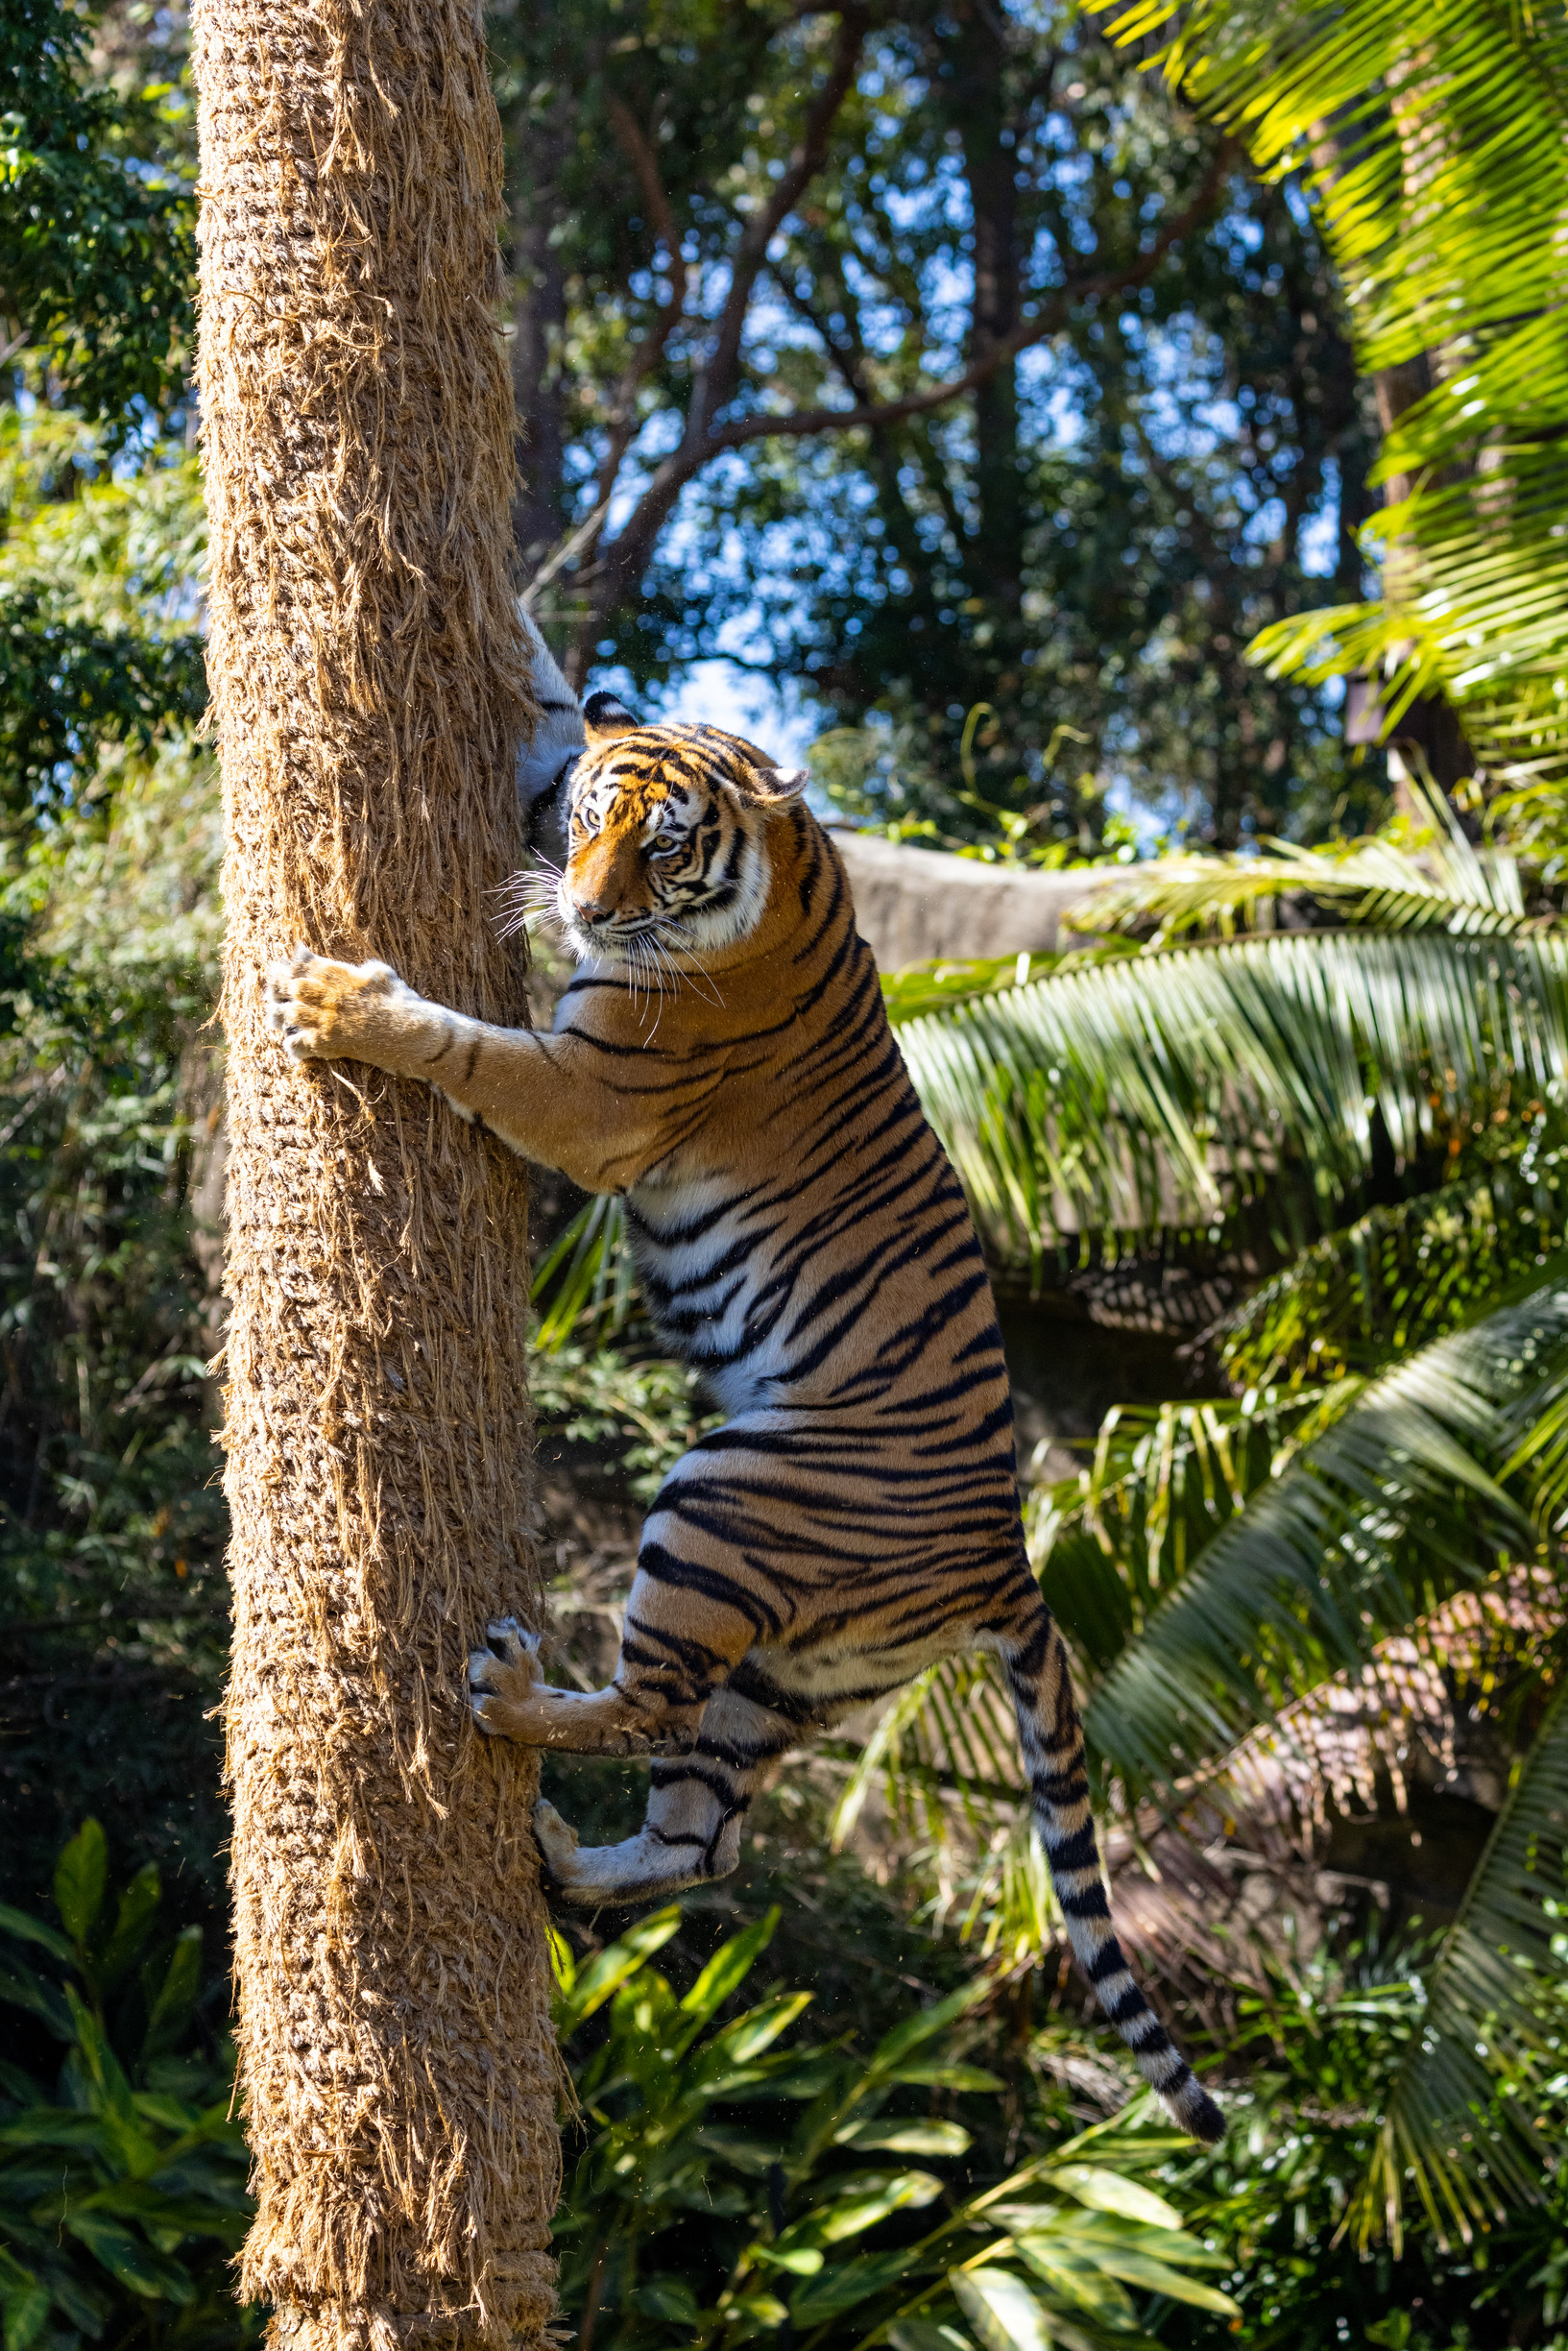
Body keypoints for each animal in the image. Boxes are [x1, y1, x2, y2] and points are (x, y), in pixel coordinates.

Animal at [264, 698, 1225, 2145]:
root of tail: (1007, 1558)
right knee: (703, 1834)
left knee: (649, 1702)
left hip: (725, 1502)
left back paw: (510, 1698)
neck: (797, 865)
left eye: (661, 852)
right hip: (791, 1679)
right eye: (590, 815)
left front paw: (341, 1003)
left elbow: (463, 1044)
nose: (587, 910)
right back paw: (564, 1854)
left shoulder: (590, 1093)